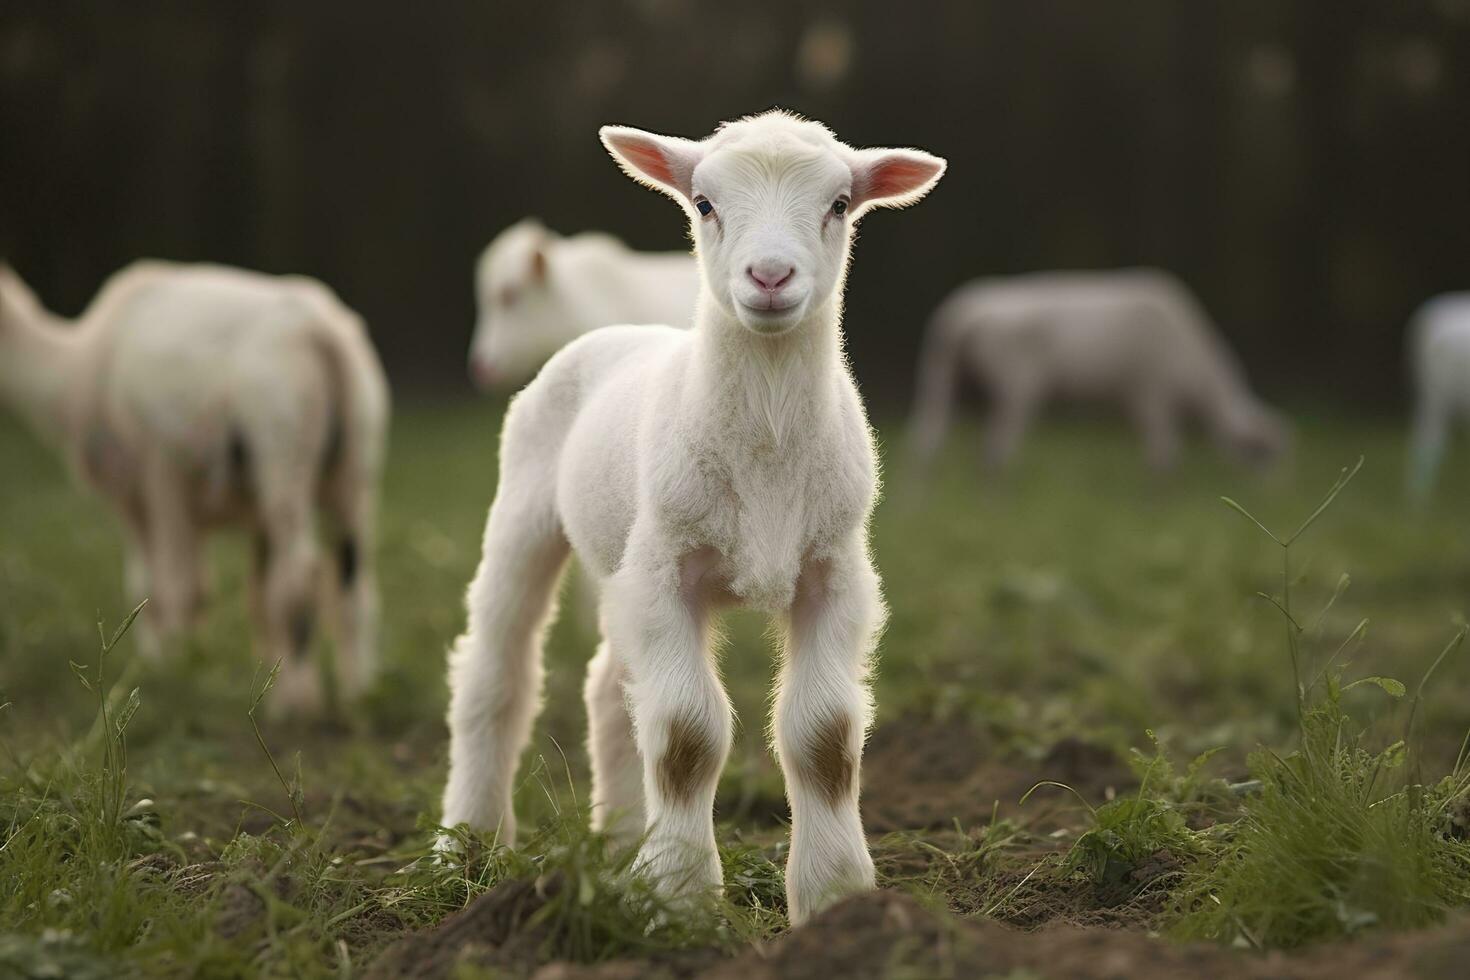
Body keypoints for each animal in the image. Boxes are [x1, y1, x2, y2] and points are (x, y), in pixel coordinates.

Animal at [0, 260, 391, 714]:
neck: (72, 367)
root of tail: (321, 332)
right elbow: (238, 594)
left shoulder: (155, 477)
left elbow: (163, 588)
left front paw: (167, 671)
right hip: (354, 465)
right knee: (352, 588)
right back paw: (354, 694)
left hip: (281, 443)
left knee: (299, 577)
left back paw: (296, 703)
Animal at [905, 265, 1287, 470]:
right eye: (1265, 458)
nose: (1274, 499)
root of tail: (962, 313)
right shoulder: (1149, 393)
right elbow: (1164, 455)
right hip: (1016, 390)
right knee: (995, 452)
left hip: (948, 384)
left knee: (927, 446)